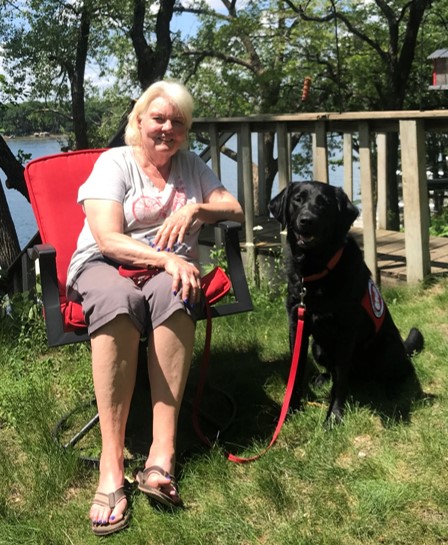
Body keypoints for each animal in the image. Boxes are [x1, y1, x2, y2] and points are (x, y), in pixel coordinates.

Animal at [270, 181, 424, 422]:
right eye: (297, 199)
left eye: (324, 203)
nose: (306, 220)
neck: (317, 270)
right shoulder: (297, 326)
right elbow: (297, 372)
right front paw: (290, 410)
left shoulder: (345, 331)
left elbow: (341, 379)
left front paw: (334, 416)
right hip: (318, 347)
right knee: (334, 372)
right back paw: (322, 378)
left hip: (387, 347)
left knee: (401, 372)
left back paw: (392, 390)